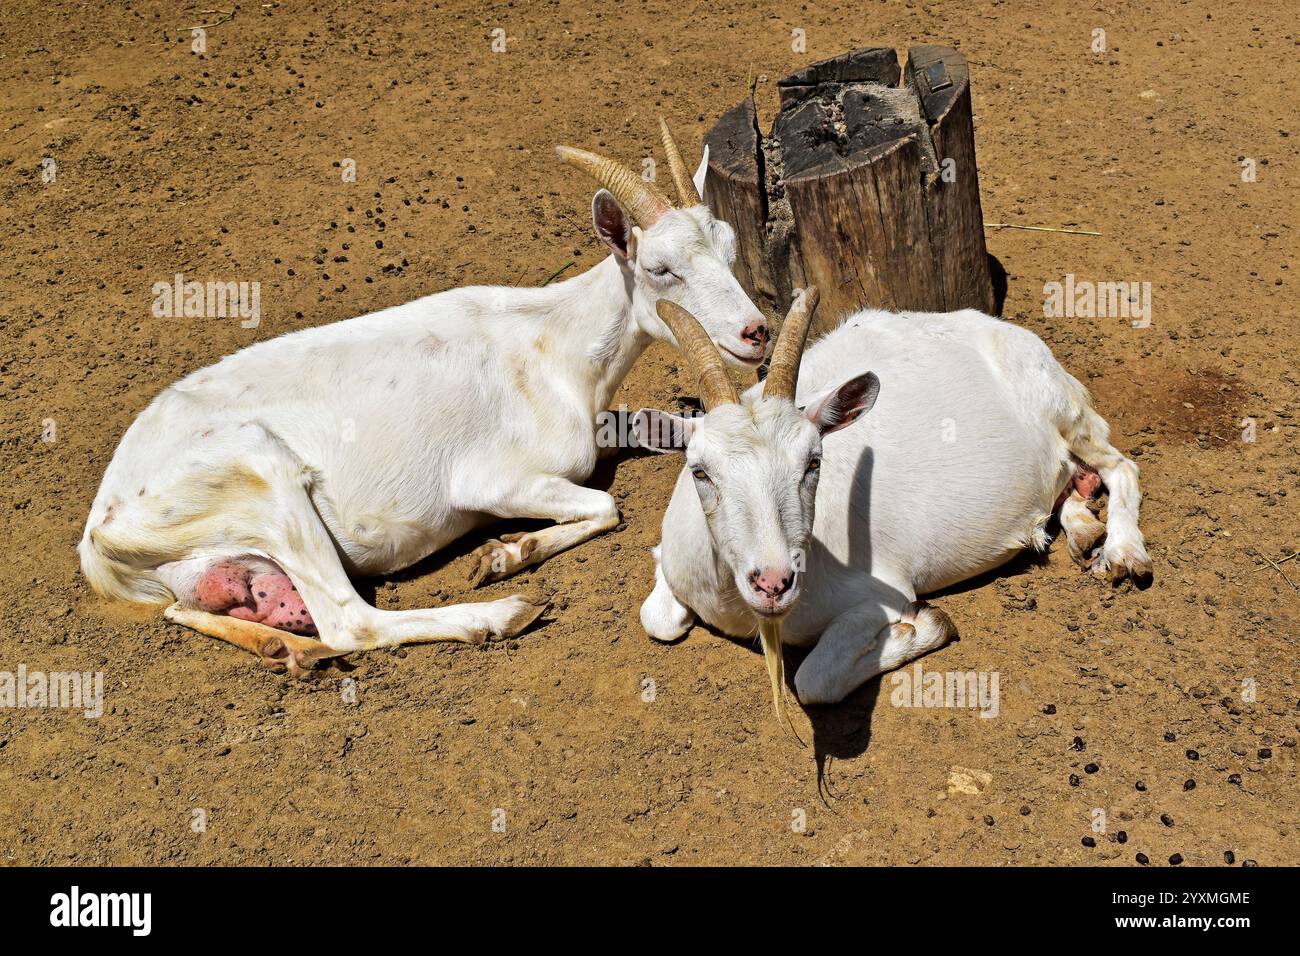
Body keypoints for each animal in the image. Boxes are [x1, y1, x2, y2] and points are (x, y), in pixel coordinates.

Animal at [81, 123, 769, 676]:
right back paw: (501, 614)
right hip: (264, 478)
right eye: (660, 270)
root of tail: (100, 531)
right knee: (349, 620)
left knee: (190, 613)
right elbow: (606, 505)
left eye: (731, 250)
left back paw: (286, 650)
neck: (553, 346)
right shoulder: (491, 479)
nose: (754, 333)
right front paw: (504, 557)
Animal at [634, 291, 1154, 717]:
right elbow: (656, 619)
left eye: (813, 462)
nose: (773, 583)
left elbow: (814, 679)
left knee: (1122, 467)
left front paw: (921, 627)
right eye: (700, 471)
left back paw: (1123, 553)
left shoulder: (880, 593)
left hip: (1066, 411)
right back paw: (1083, 526)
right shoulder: (672, 560)